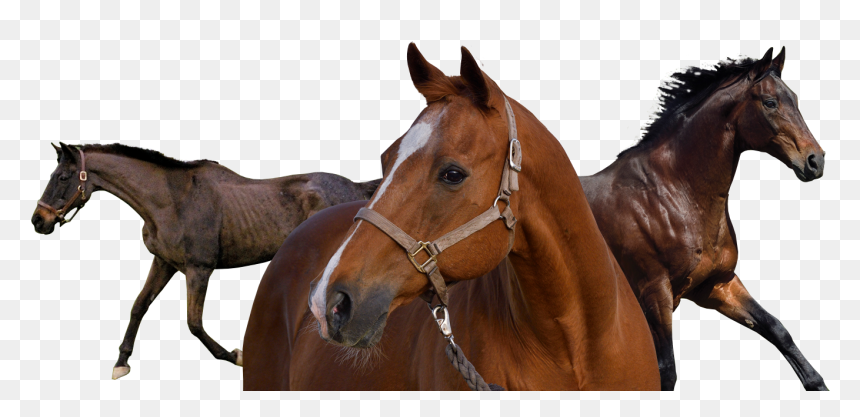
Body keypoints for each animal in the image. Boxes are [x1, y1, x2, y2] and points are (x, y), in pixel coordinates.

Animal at [31, 142, 380, 380]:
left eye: (63, 177)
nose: (38, 220)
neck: (172, 201)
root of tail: (359, 188)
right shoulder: (164, 262)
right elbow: (139, 306)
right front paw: (121, 363)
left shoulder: (199, 269)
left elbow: (194, 323)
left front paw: (236, 355)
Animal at [580, 47, 828, 390]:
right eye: (770, 102)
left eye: (795, 99)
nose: (815, 161)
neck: (672, 195)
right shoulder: (655, 294)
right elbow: (666, 370)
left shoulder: (716, 285)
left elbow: (777, 330)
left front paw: (817, 384)